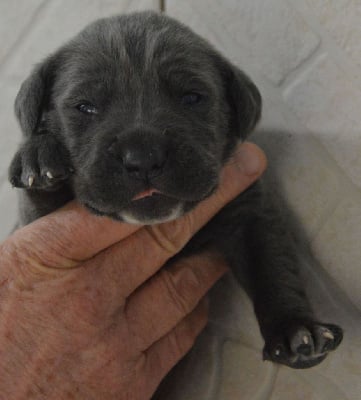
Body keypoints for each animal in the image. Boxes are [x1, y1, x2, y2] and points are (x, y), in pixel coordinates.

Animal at [7, 10, 342, 368]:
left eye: (192, 97)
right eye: (85, 107)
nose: (142, 157)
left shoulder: (250, 212)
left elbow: (273, 266)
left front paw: (296, 329)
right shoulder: (35, 227)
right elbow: (41, 204)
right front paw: (37, 155)